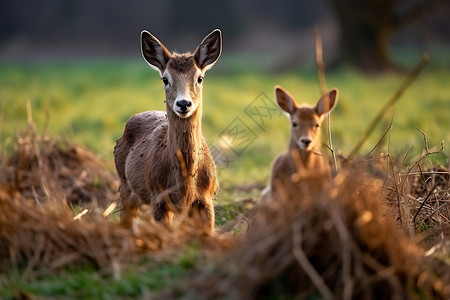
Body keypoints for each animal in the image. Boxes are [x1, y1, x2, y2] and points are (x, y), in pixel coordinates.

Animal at [113, 29, 222, 231]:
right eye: (165, 79)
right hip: (124, 184)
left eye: (200, 78)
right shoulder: (159, 197)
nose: (184, 103)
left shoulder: (206, 199)